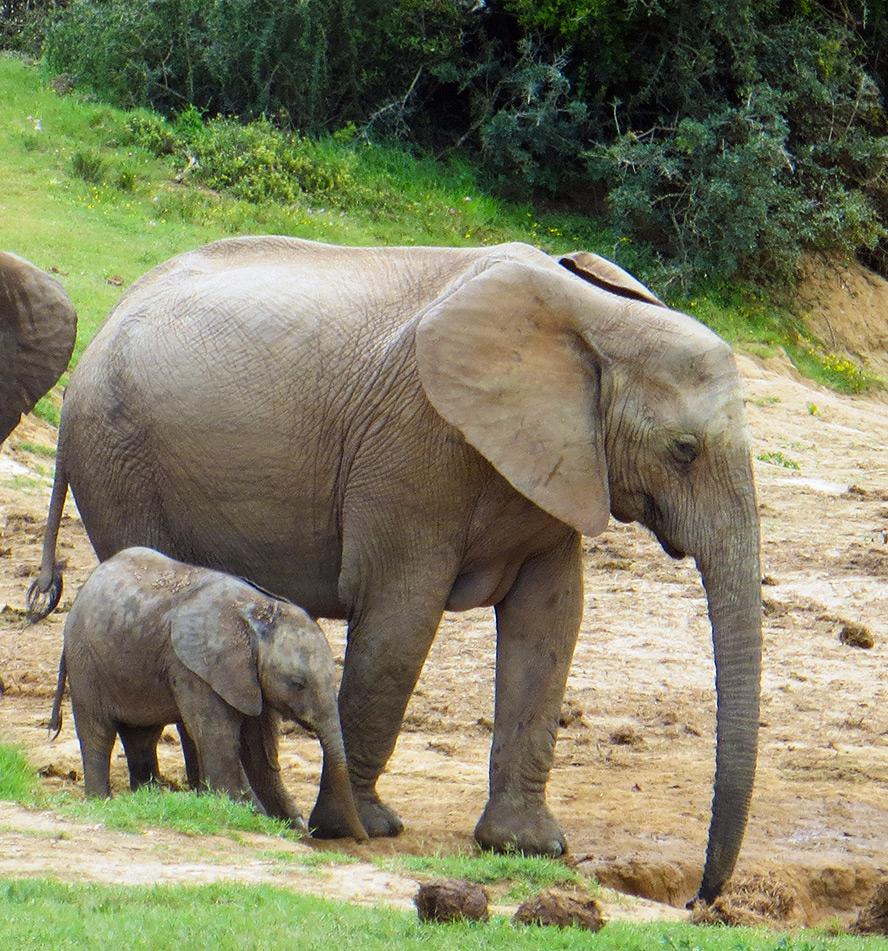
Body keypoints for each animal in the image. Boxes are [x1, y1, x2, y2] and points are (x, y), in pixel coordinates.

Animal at [48, 545, 368, 841]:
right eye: (297, 683)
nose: (362, 838)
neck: (258, 612)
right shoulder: (194, 669)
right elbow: (219, 739)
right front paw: (256, 817)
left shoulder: (248, 677)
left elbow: (258, 748)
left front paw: (291, 825)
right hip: (85, 661)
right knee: (98, 732)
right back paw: (101, 801)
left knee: (142, 736)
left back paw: (147, 799)